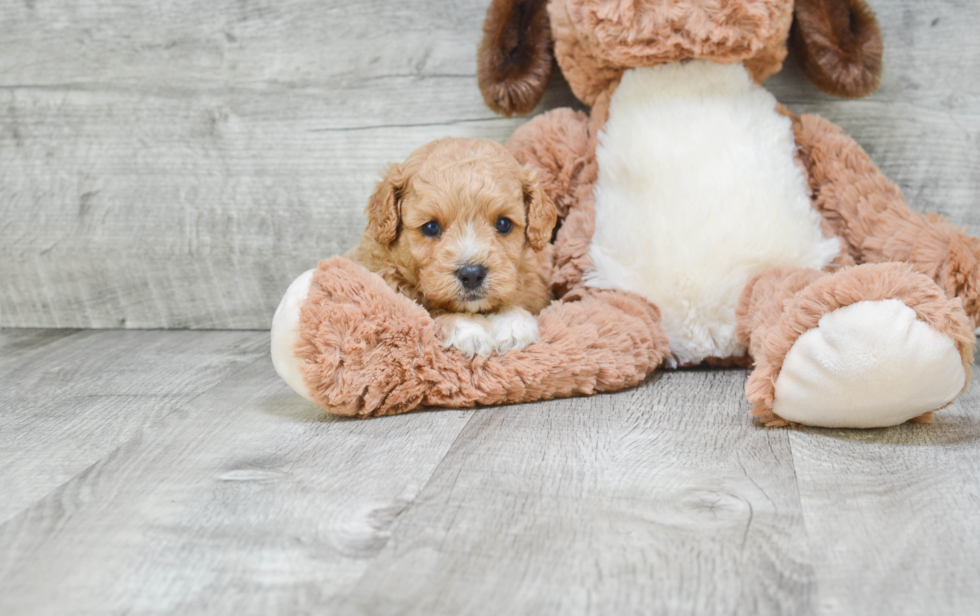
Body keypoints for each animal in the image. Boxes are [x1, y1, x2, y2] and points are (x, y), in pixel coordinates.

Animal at [348, 135, 556, 356]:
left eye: (503, 224)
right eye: (431, 227)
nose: (472, 274)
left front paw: (511, 321)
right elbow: (422, 308)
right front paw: (465, 326)